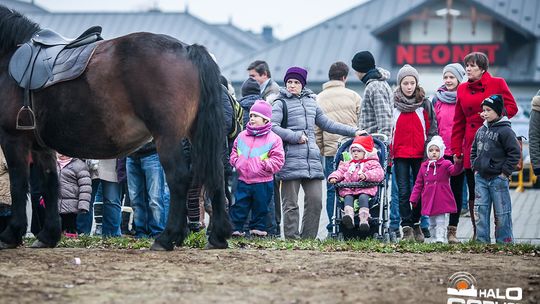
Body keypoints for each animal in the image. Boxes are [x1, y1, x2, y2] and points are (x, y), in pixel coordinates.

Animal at [0, 5, 230, 251]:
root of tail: (187, 49)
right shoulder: (40, 145)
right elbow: (50, 184)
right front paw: (48, 235)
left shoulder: (13, 138)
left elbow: (17, 184)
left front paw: (11, 234)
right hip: (197, 134)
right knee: (216, 174)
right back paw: (218, 236)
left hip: (167, 137)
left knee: (178, 178)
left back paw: (167, 237)